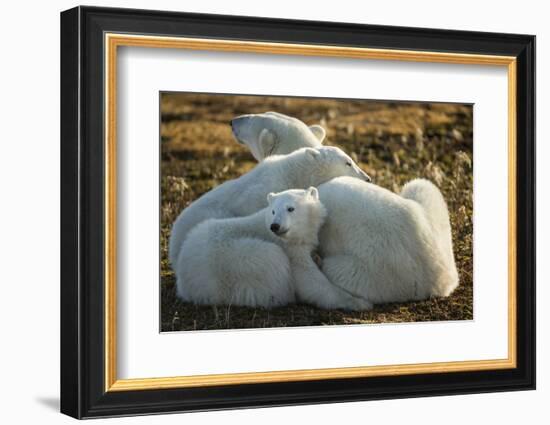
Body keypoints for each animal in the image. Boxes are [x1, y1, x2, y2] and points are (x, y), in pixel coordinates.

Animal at [176, 187, 370, 310]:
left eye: (290, 208)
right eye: (273, 211)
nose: (275, 226)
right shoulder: (290, 250)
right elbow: (312, 282)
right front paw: (360, 302)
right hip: (238, 262)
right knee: (272, 261)